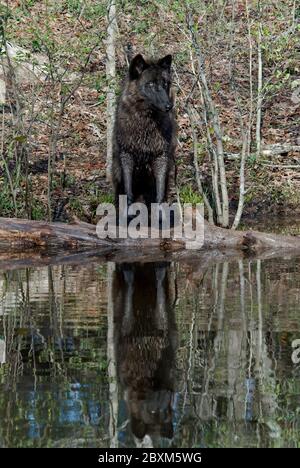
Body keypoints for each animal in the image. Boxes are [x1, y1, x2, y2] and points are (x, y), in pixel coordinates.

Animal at [112, 54, 178, 213]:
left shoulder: (161, 158)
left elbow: (159, 195)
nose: (169, 106)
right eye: (151, 84)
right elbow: (128, 191)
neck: (146, 125)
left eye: (165, 83)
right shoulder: (126, 156)